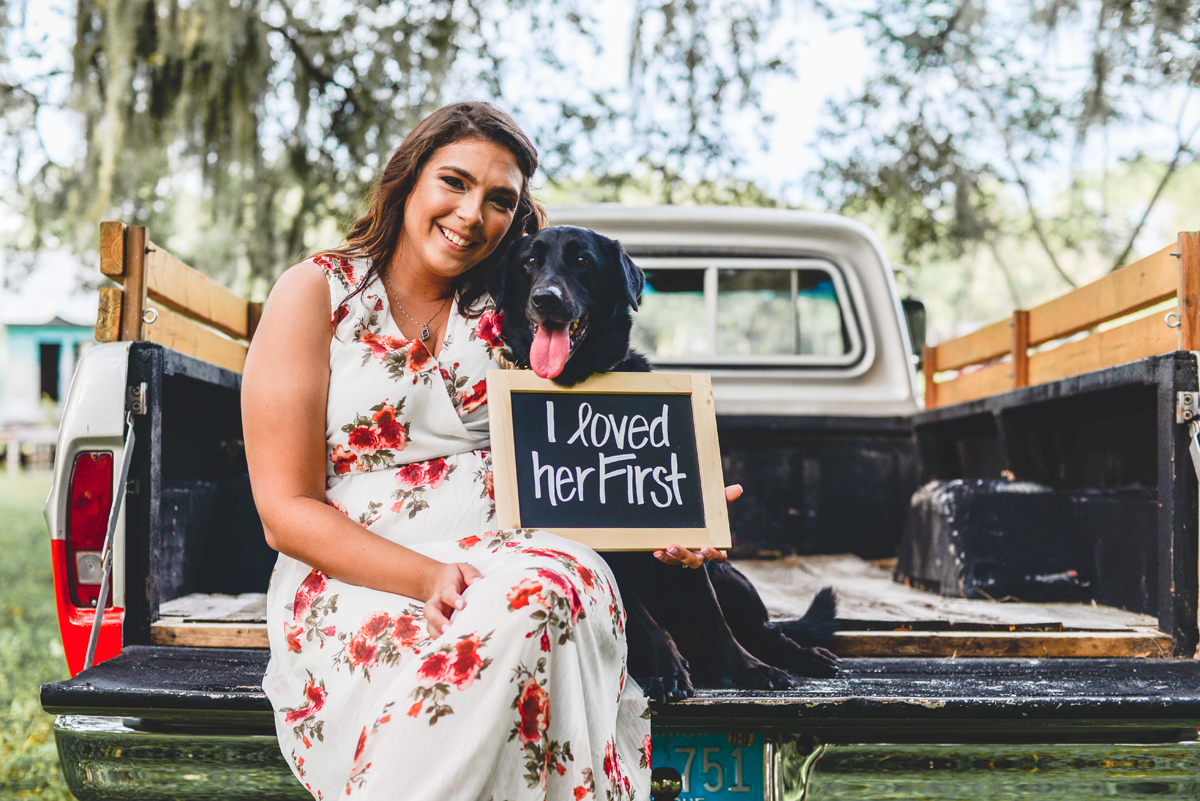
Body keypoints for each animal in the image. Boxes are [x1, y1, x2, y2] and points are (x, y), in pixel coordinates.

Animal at [487, 221, 844, 695]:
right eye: (529, 262)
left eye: (582, 261)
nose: (546, 298)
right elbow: (647, 622)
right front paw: (670, 670)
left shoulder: (691, 549)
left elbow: (715, 619)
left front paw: (749, 668)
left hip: (731, 578)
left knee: (768, 631)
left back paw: (801, 655)